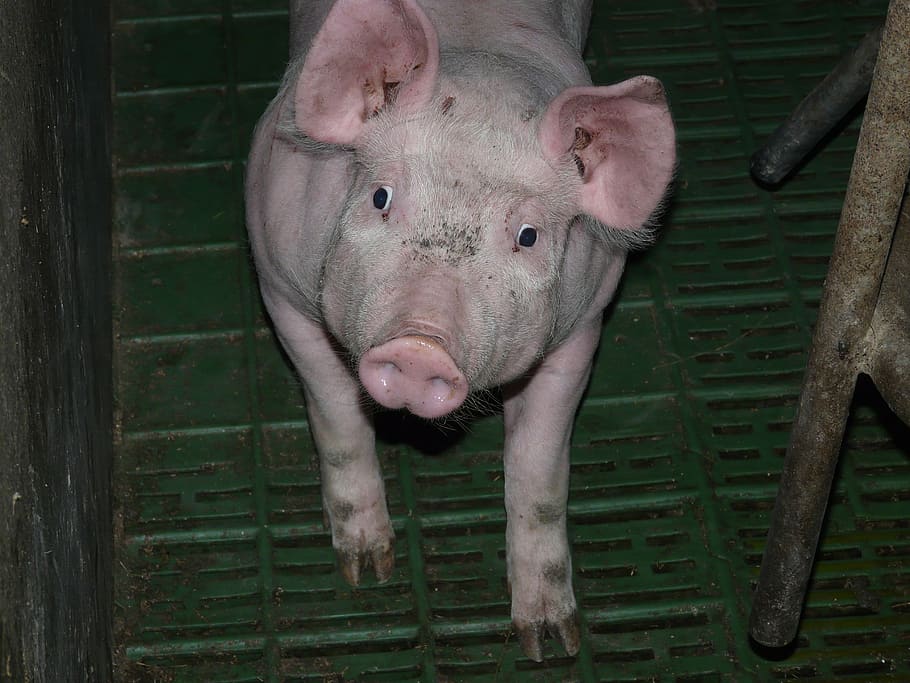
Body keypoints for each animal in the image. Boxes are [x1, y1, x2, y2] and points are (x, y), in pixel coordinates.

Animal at [245, 0, 675, 661]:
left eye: (528, 235)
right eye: (380, 196)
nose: (420, 346)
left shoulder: (582, 328)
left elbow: (539, 470)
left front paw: (550, 643)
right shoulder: (278, 285)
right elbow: (337, 417)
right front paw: (367, 573)